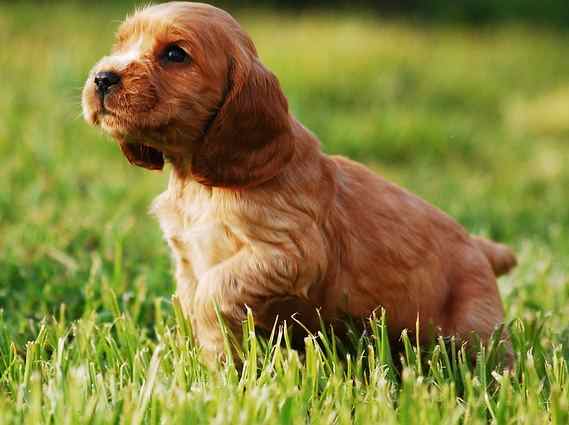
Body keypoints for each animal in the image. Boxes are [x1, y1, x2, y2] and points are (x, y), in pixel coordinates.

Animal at [82, 1, 516, 362]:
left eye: (175, 54)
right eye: (121, 42)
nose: (102, 78)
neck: (198, 184)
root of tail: (481, 247)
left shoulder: (291, 253)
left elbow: (212, 295)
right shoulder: (188, 261)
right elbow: (194, 304)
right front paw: (210, 367)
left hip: (475, 329)